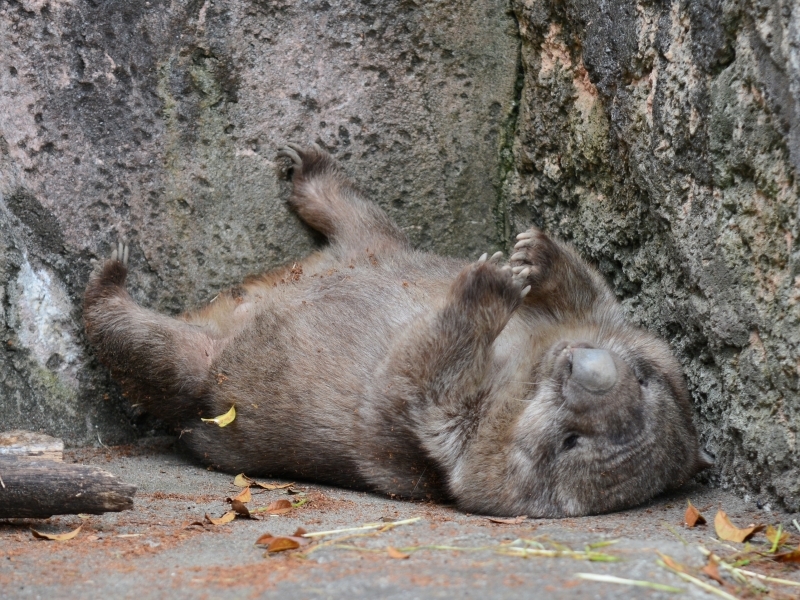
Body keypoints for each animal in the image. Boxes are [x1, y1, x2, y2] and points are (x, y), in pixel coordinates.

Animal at [84, 144, 708, 516]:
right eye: (648, 377)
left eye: (570, 441)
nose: (587, 367)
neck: (522, 368)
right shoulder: (578, 323)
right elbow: (600, 297)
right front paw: (533, 255)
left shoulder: (439, 446)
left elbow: (412, 382)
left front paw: (490, 283)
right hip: (376, 248)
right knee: (364, 218)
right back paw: (310, 167)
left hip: (208, 378)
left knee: (148, 350)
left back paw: (111, 274)